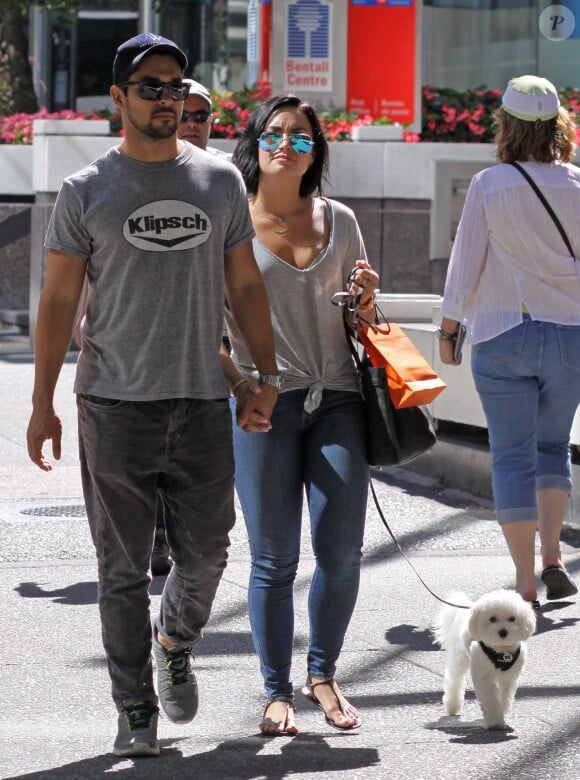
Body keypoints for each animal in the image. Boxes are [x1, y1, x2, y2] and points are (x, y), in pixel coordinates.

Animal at [432, 592, 536, 732]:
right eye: (492, 619)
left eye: (512, 618)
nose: (503, 632)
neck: (501, 651)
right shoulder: (484, 676)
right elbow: (490, 699)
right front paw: (495, 722)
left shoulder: (509, 677)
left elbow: (505, 695)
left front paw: (502, 711)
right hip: (459, 656)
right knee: (455, 679)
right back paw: (452, 705)